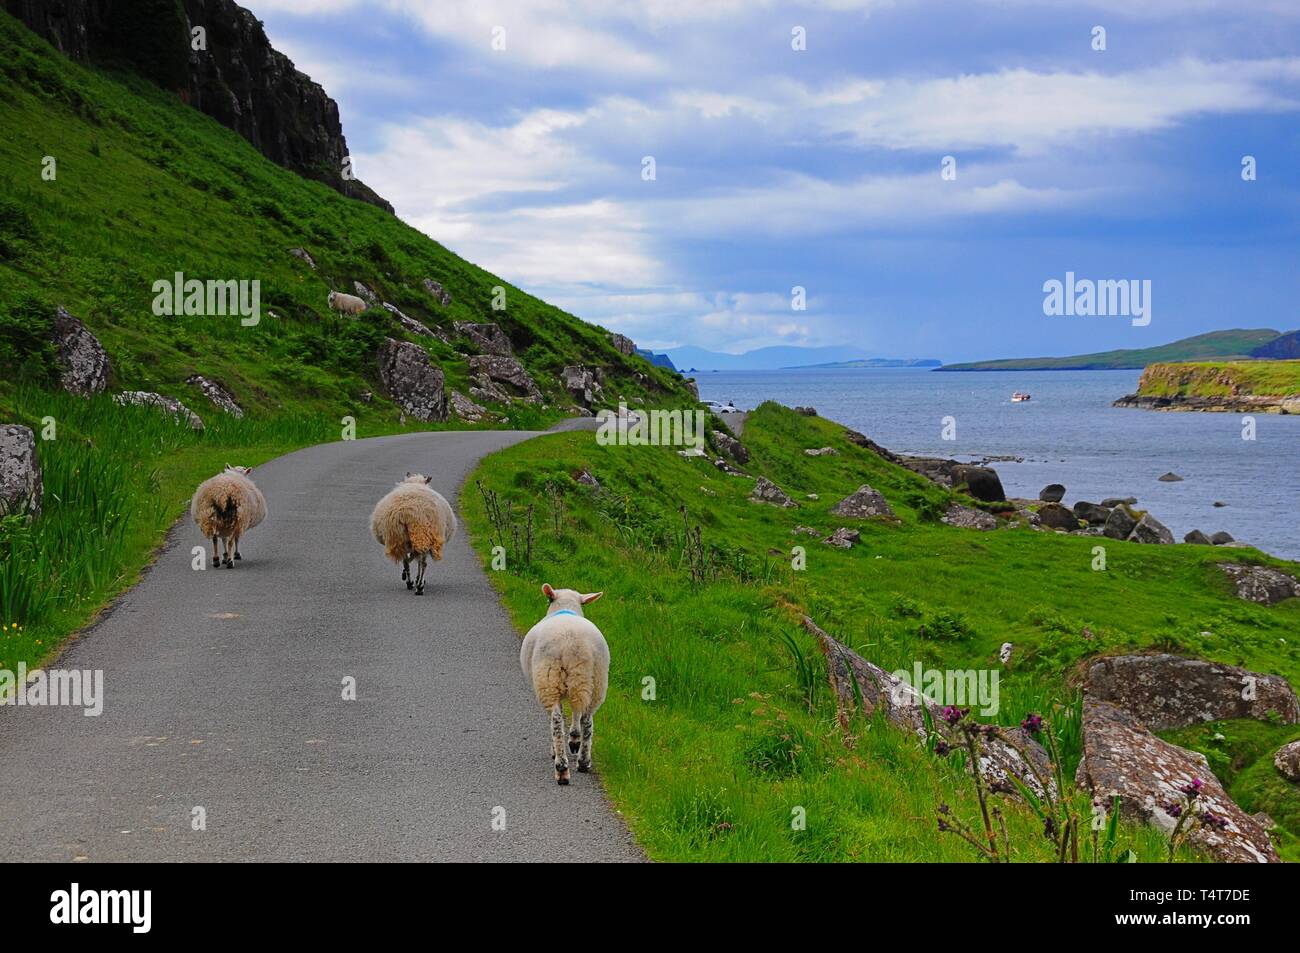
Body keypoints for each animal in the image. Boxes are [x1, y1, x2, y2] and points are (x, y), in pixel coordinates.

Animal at [517, 582, 608, 785]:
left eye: (548, 599)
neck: (566, 607)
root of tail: (571, 643)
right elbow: (575, 714)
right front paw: (574, 739)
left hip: (549, 680)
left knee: (556, 721)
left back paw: (561, 767)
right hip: (594, 681)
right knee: (587, 720)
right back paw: (583, 761)